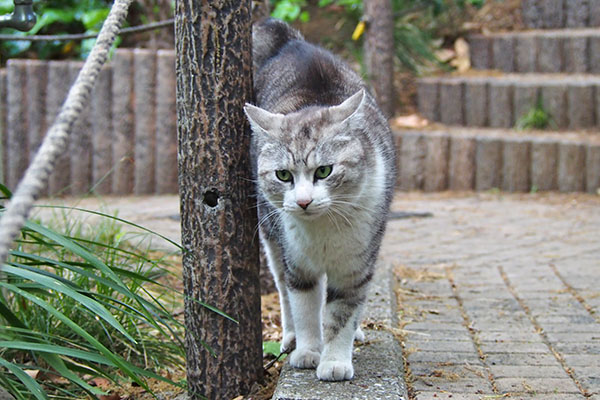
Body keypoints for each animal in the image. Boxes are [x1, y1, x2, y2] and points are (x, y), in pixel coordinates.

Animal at [246, 18, 396, 382]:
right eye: (283, 175)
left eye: (324, 171)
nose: (302, 202)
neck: (323, 231)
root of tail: (291, 42)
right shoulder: (297, 263)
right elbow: (304, 309)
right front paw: (308, 352)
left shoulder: (356, 266)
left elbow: (342, 313)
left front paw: (335, 361)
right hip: (271, 237)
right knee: (282, 289)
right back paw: (290, 338)